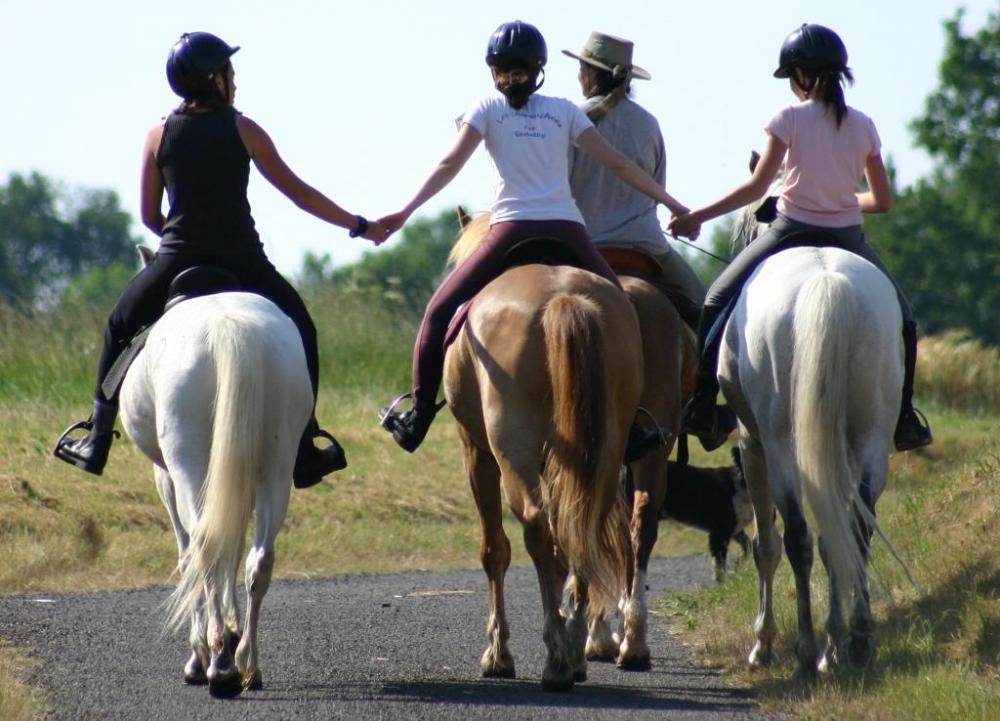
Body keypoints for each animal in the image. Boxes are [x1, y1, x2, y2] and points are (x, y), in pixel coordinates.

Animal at [120, 266, 310, 696]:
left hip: (186, 463)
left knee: (202, 546)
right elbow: (234, 546)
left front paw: (200, 653)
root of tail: (228, 328)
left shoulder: (166, 479)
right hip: (275, 465)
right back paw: (247, 664)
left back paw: (220, 664)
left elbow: (189, 554)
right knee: (258, 558)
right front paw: (234, 630)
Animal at [444, 211, 644, 688]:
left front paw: (497, 653)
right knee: (580, 526)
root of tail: (562, 298)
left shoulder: (476, 454)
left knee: (538, 530)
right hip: (603, 452)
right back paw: (574, 646)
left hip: (510, 450)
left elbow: (494, 550)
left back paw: (557, 654)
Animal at [720, 242, 908, 676]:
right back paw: (857, 641)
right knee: (854, 531)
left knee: (796, 539)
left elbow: (766, 546)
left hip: (777, 445)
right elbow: (834, 539)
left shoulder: (751, 444)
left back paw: (806, 652)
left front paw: (763, 644)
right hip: (871, 439)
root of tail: (826, 280)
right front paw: (836, 644)